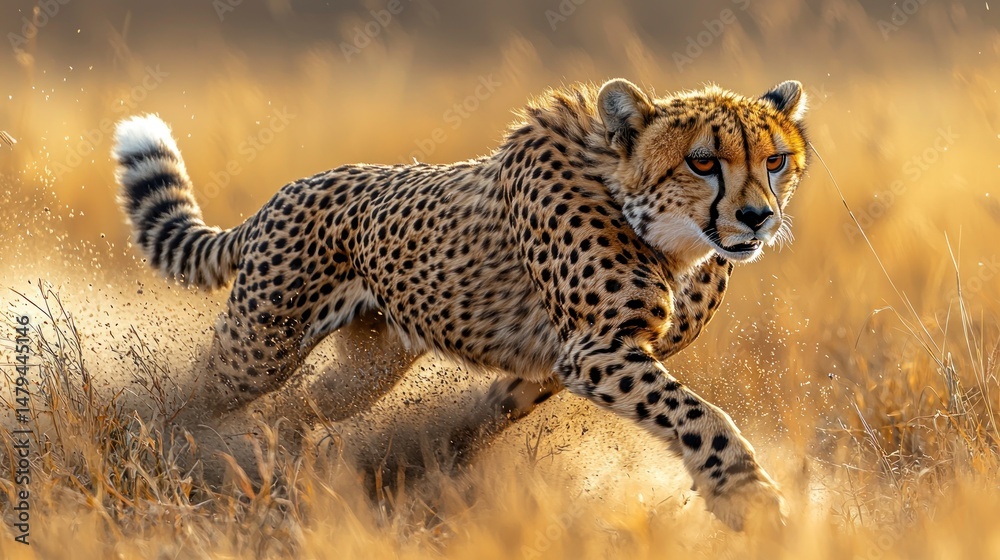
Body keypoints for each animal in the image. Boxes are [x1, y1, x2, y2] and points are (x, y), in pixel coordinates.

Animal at [112, 78, 808, 531]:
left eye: (776, 161)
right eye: (703, 162)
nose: (758, 218)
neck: (662, 232)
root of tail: (285, 192)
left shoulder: (566, 360)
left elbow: (495, 408)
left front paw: (440, 454)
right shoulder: (596, 350)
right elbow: (700, 415)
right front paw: (748, 495)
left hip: (368, 366)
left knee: (301, 405)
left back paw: (276, 462)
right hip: (263, 342)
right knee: (196, 393)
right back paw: (153, 449)